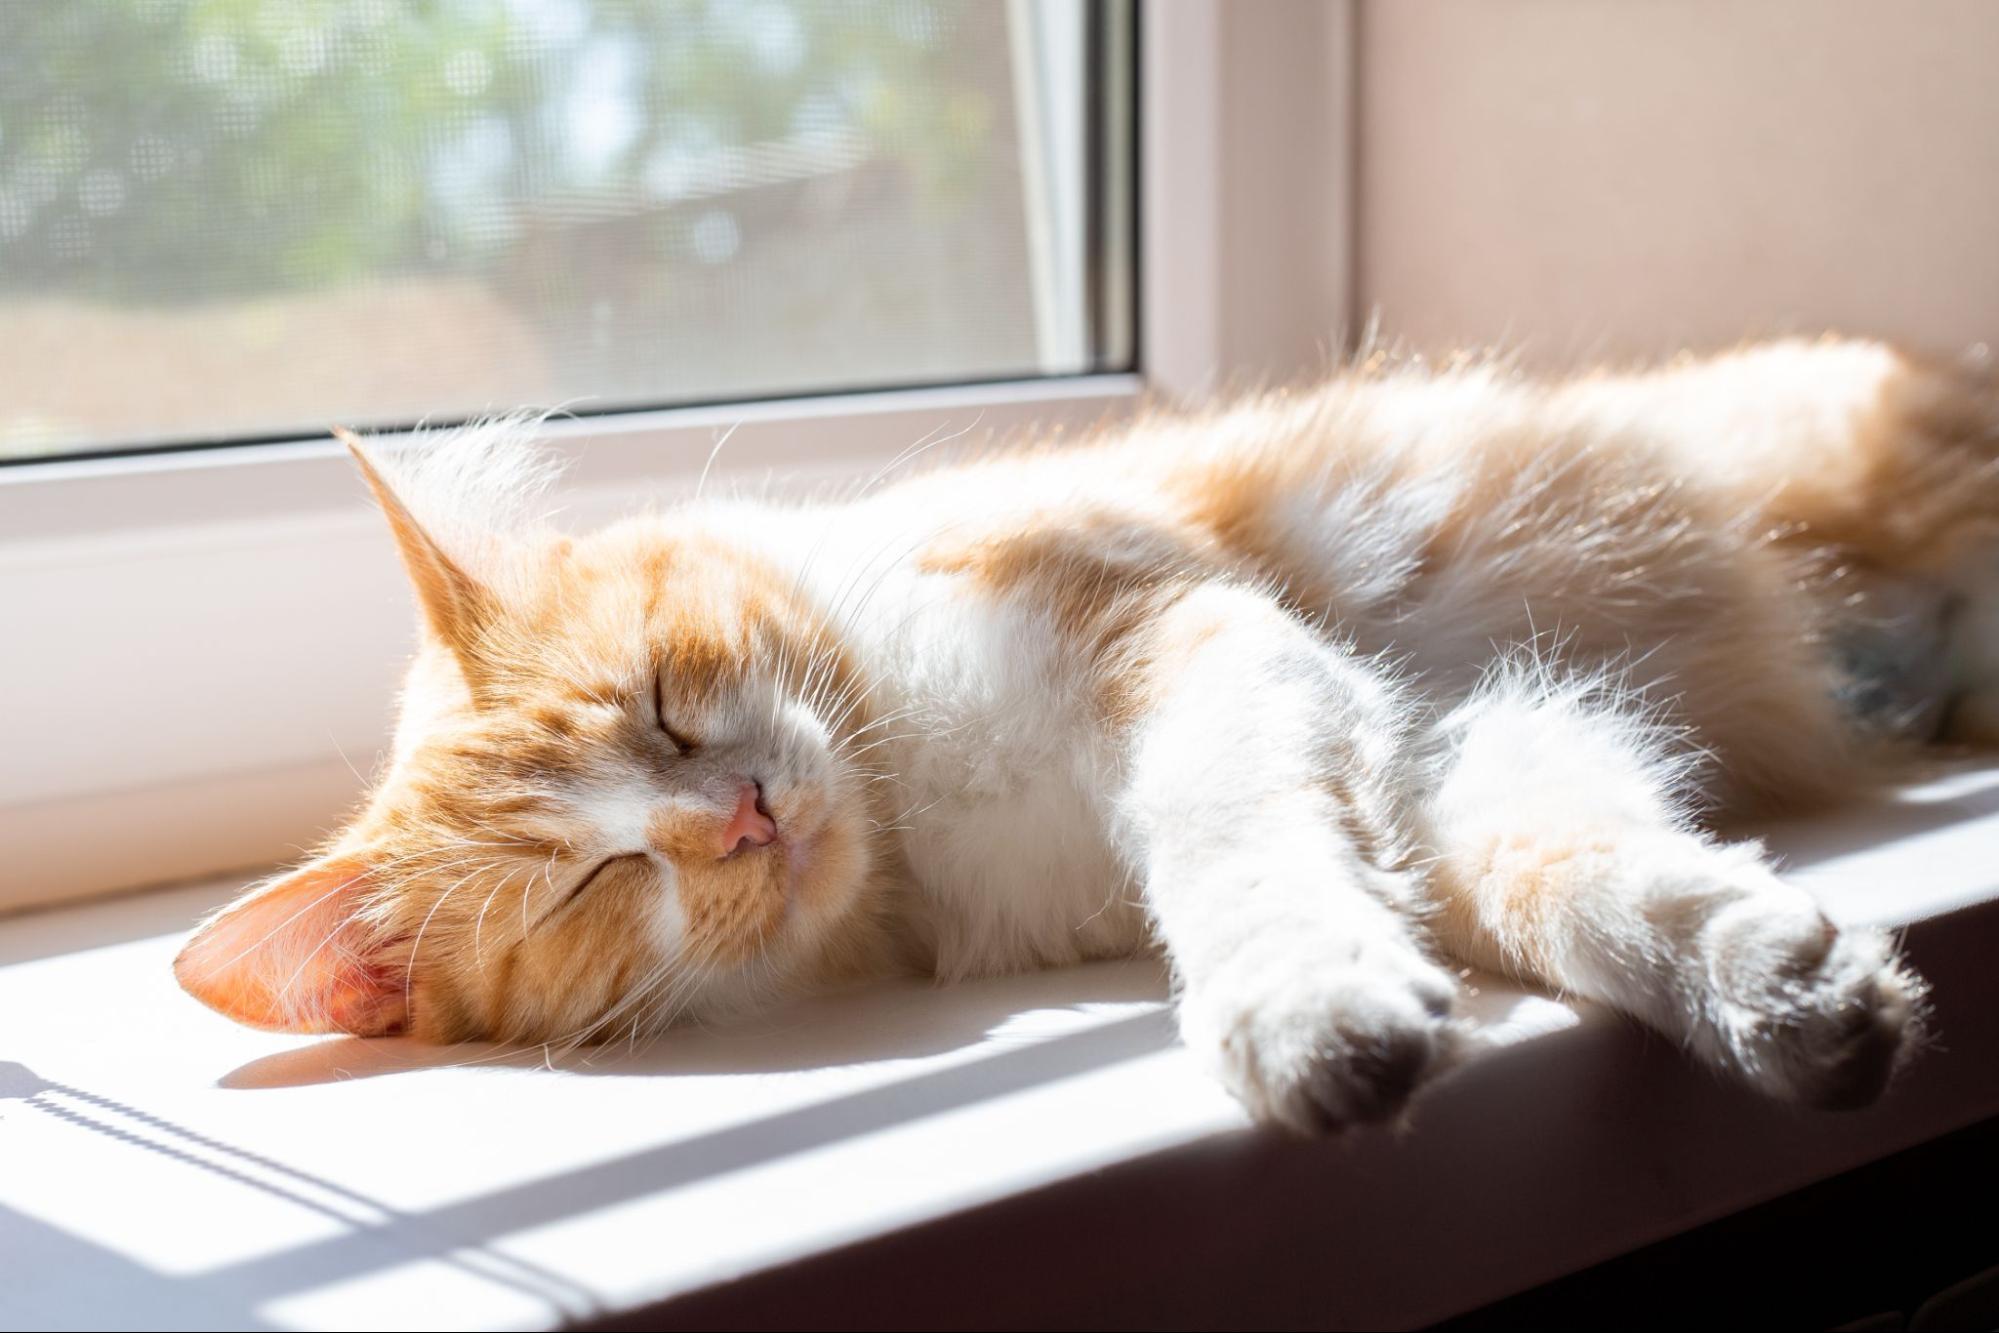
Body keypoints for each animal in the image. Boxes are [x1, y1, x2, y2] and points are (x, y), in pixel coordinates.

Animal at [171, 339, 1999, 1135]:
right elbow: (1575, 870)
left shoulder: (1193, 638)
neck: (915, 804)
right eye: (589, 885)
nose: (742, 815)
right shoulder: (1434, 745)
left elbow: (1226, 836)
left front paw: (1303, 1009)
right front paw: (1778, 988)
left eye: (663, 701)